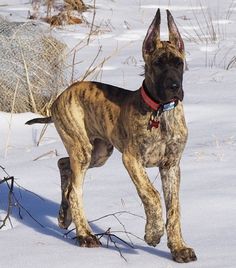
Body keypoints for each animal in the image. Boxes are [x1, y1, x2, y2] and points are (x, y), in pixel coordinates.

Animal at [25, 9, 196, 262]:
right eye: (157, 64)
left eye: (178, 63)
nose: (174, 86)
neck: (160, 111)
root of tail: (60, 97)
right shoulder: (132, 159)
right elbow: (152, 194)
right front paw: (153, 233)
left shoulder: (171, 165)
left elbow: (174, 208)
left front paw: (179, 247)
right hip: (83, 149)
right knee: (75, 190)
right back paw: (85, 235)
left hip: (99, 151)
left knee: (63, 164)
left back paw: (64, 216)